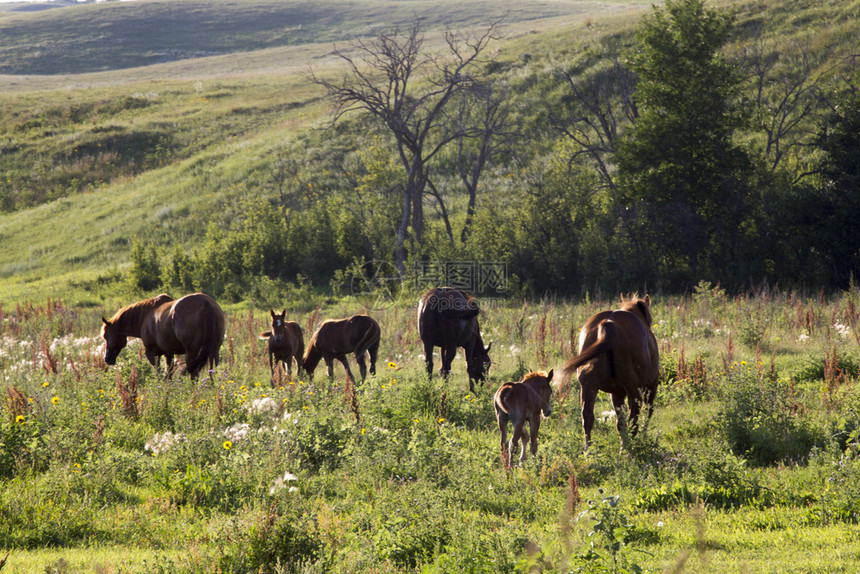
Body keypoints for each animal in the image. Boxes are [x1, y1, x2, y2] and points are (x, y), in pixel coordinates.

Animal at [564, 296, 660, 450]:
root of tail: (608, 324)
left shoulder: (616, 394)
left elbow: (619, 422)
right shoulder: (651, 387)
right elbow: (647, 413)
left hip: (588, 386)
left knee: (588, 417)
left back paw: (588, 450)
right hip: (634, 390)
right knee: (634, 418)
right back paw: (628, 449)